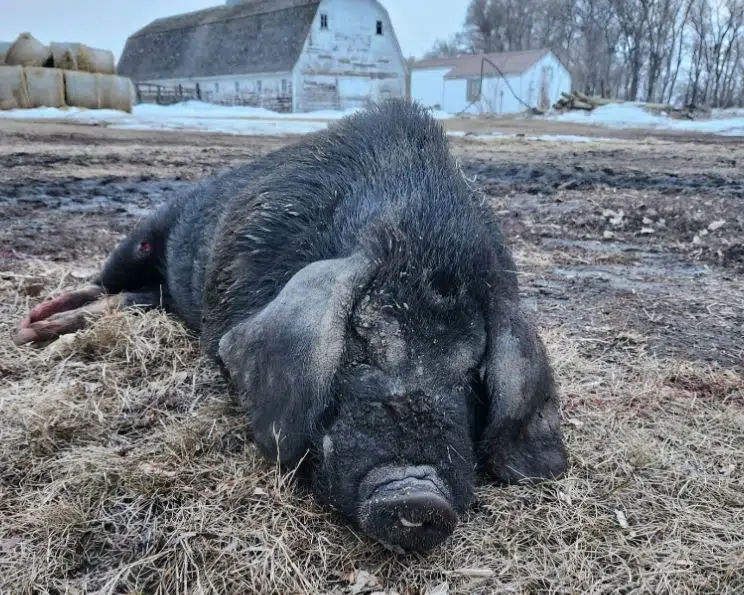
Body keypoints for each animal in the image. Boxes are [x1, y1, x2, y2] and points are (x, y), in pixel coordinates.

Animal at [13, 99, 567, 553]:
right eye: (360, 341)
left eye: (472, 375)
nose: (418, 494)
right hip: (140, 237)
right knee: (104, 284)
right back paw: (32, 326)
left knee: (136, 298)